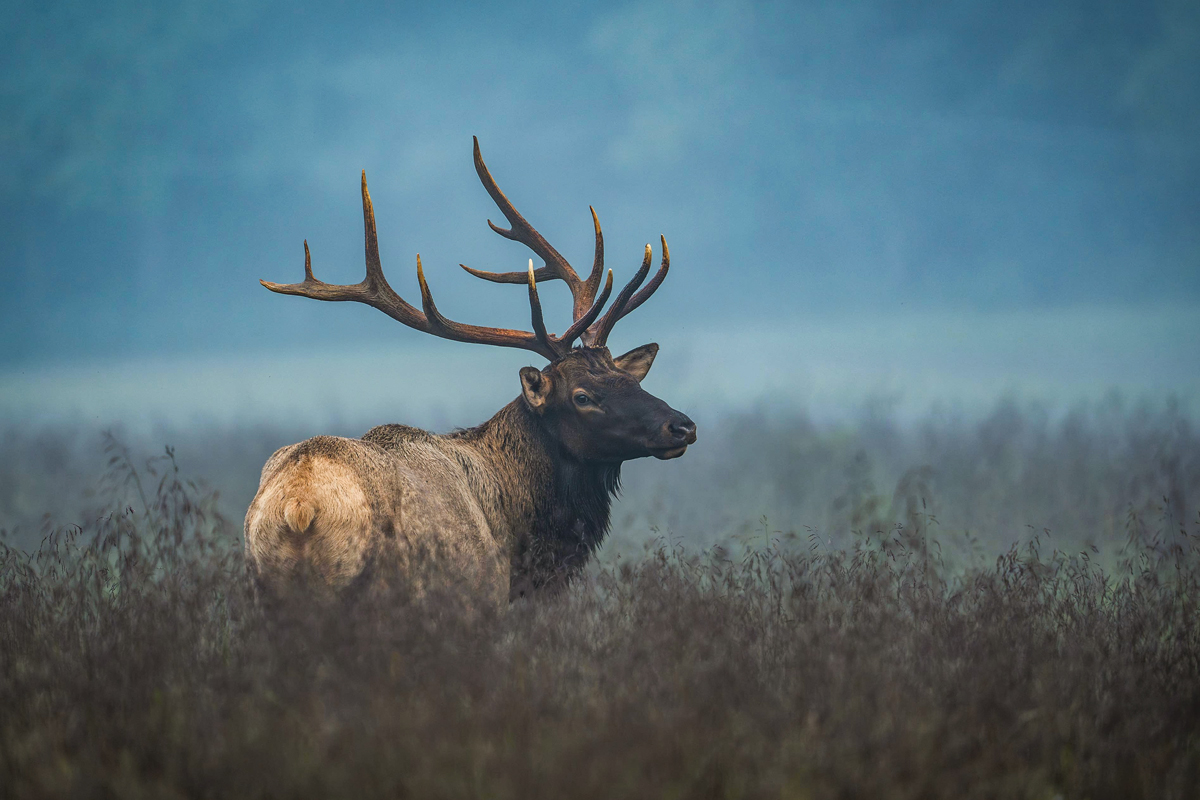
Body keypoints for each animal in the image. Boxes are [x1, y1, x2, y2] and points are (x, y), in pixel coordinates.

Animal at [244, 138, 696, 608]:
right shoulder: (481, 599)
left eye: (631, 379)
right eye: (582, 396)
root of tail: (300, 507)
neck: (522, 543)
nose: (682, 426)